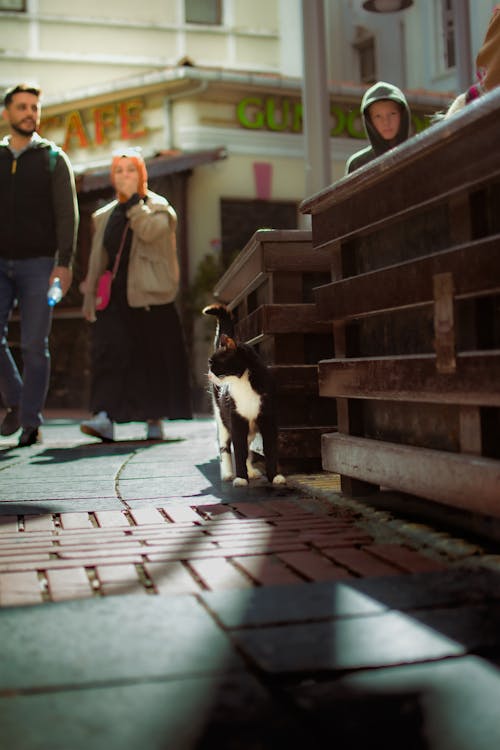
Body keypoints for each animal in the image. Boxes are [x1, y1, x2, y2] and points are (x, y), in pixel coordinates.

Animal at [202, 304, 286, 488]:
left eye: (213, 363)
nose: (208, 375)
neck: (242, 384)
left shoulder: (267, 416)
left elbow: (269, 447)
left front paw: (274, 476)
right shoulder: (236, 417)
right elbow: (239, 449)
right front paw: (240, 478)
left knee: (248, 447)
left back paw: (251, 472)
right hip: (221, 416)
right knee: (225, 446)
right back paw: (227, 474)